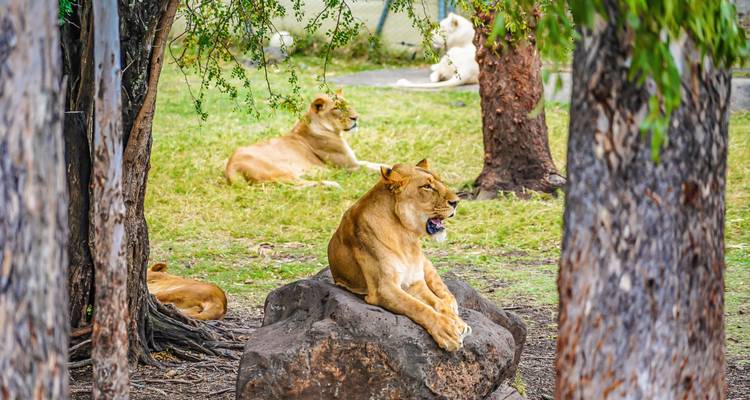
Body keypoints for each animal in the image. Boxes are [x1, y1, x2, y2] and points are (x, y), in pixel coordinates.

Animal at [224, 92, 385, 188]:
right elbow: (372, 169)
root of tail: (230, 166)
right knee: (296, 185)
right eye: (336, 108)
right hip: (279, 171)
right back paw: (331, 184)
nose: (356, 118)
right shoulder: (349, 167)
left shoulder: (354, 162)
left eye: (347, 104)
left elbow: (375, 164)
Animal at [327, 159, 471, 351]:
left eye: (440, 181)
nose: (456, 202)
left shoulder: (415, 282)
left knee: (440, 287)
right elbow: (418, 307)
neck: (405, 236)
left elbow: (435, 302)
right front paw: (447, 330)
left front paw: (457, 322)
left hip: (425, 265)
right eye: (427, 186)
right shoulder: (383, 289)